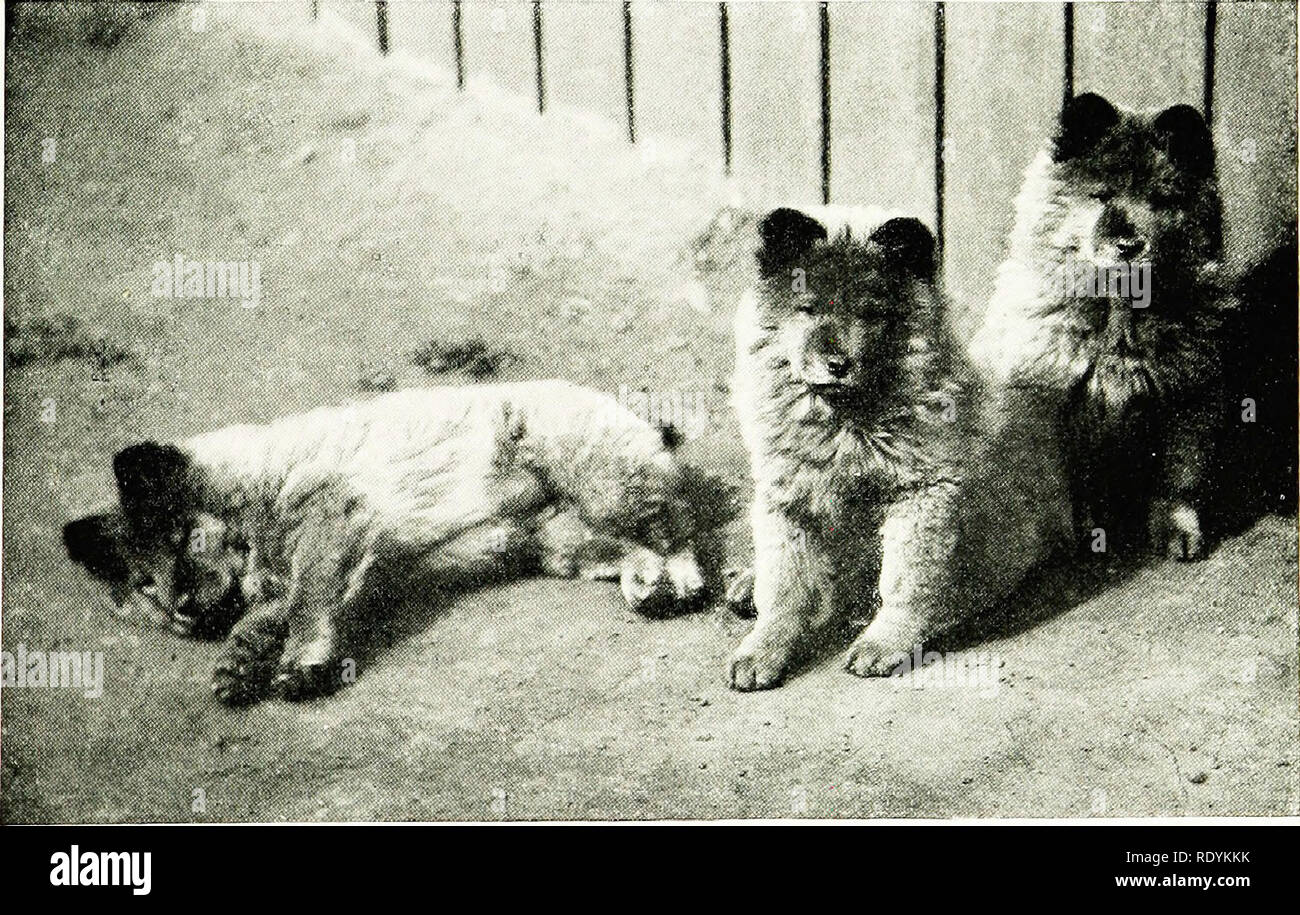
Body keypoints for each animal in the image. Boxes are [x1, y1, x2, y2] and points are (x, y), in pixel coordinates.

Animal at [65, 376, 707, 701]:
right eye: (145, 586)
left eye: (180, 538)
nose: (180, 609)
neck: (248, 490)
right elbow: (266, 614)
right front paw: (240, 663)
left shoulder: (331, 516)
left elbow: (306, 599)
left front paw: (299, 661)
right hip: (557, 535)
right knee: (635, 537)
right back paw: (645, 579)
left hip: (595, 475)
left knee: (676, 524)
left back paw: (681, 577)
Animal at [728, 207, 1071, 691]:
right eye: (807, 309)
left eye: (872, 315)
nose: (837, 365)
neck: (847, 424)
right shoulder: (787, 500)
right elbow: (784, 586)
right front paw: (761, 650)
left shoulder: (921, 495)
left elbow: (904, 580)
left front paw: (881, 645)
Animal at [972, 92, 1232, 556]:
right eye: (1101, 196)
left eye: (1161, 200)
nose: (1130, 245)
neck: (1119, 316)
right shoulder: (1042, 405)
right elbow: (1056, 483)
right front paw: (1074, 533)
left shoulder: (1188, 397)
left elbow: (1178, 476)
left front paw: (1179, 532)